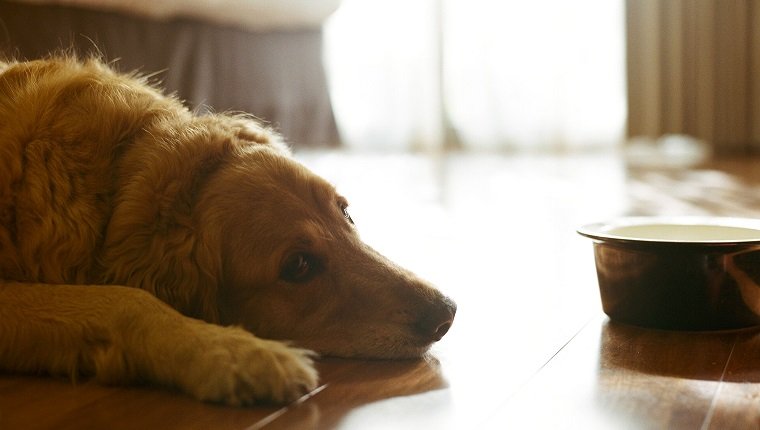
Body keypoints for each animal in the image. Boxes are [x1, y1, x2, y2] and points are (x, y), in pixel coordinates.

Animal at [0, 58, 458, 406]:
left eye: (345, 213)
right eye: (298, 265)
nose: (446, 314)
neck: (115, 186)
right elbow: (125, 301)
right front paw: (235, 353)